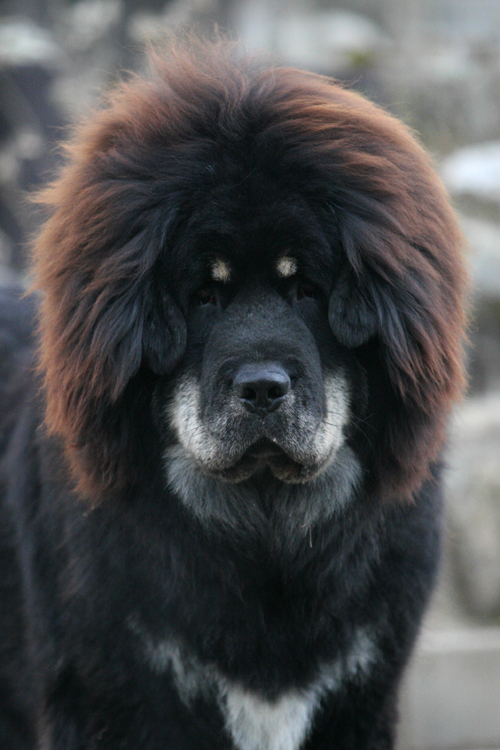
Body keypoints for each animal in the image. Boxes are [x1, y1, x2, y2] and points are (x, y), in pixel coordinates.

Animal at [0, 39, 468, 750]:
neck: (263, 547)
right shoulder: (111, 701)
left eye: (306, 289)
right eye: (202, 295)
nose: (263, 389)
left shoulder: (360, 696)